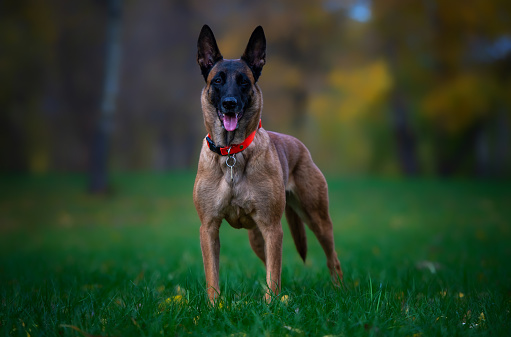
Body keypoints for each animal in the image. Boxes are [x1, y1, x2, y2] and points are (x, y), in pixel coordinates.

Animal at [193, 24, 344, 302]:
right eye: (217, 80)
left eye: (244, 81)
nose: (229, 104)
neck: (232, 153)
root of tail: (299, 144)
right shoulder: (208, 228)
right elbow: (212, 276)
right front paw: (214, 306)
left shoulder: (273, 228)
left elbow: (275, 274)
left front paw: (272, 305)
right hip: (256, 238)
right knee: (268, 264)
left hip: (317, 219)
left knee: (332, 258)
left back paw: (339, 290)